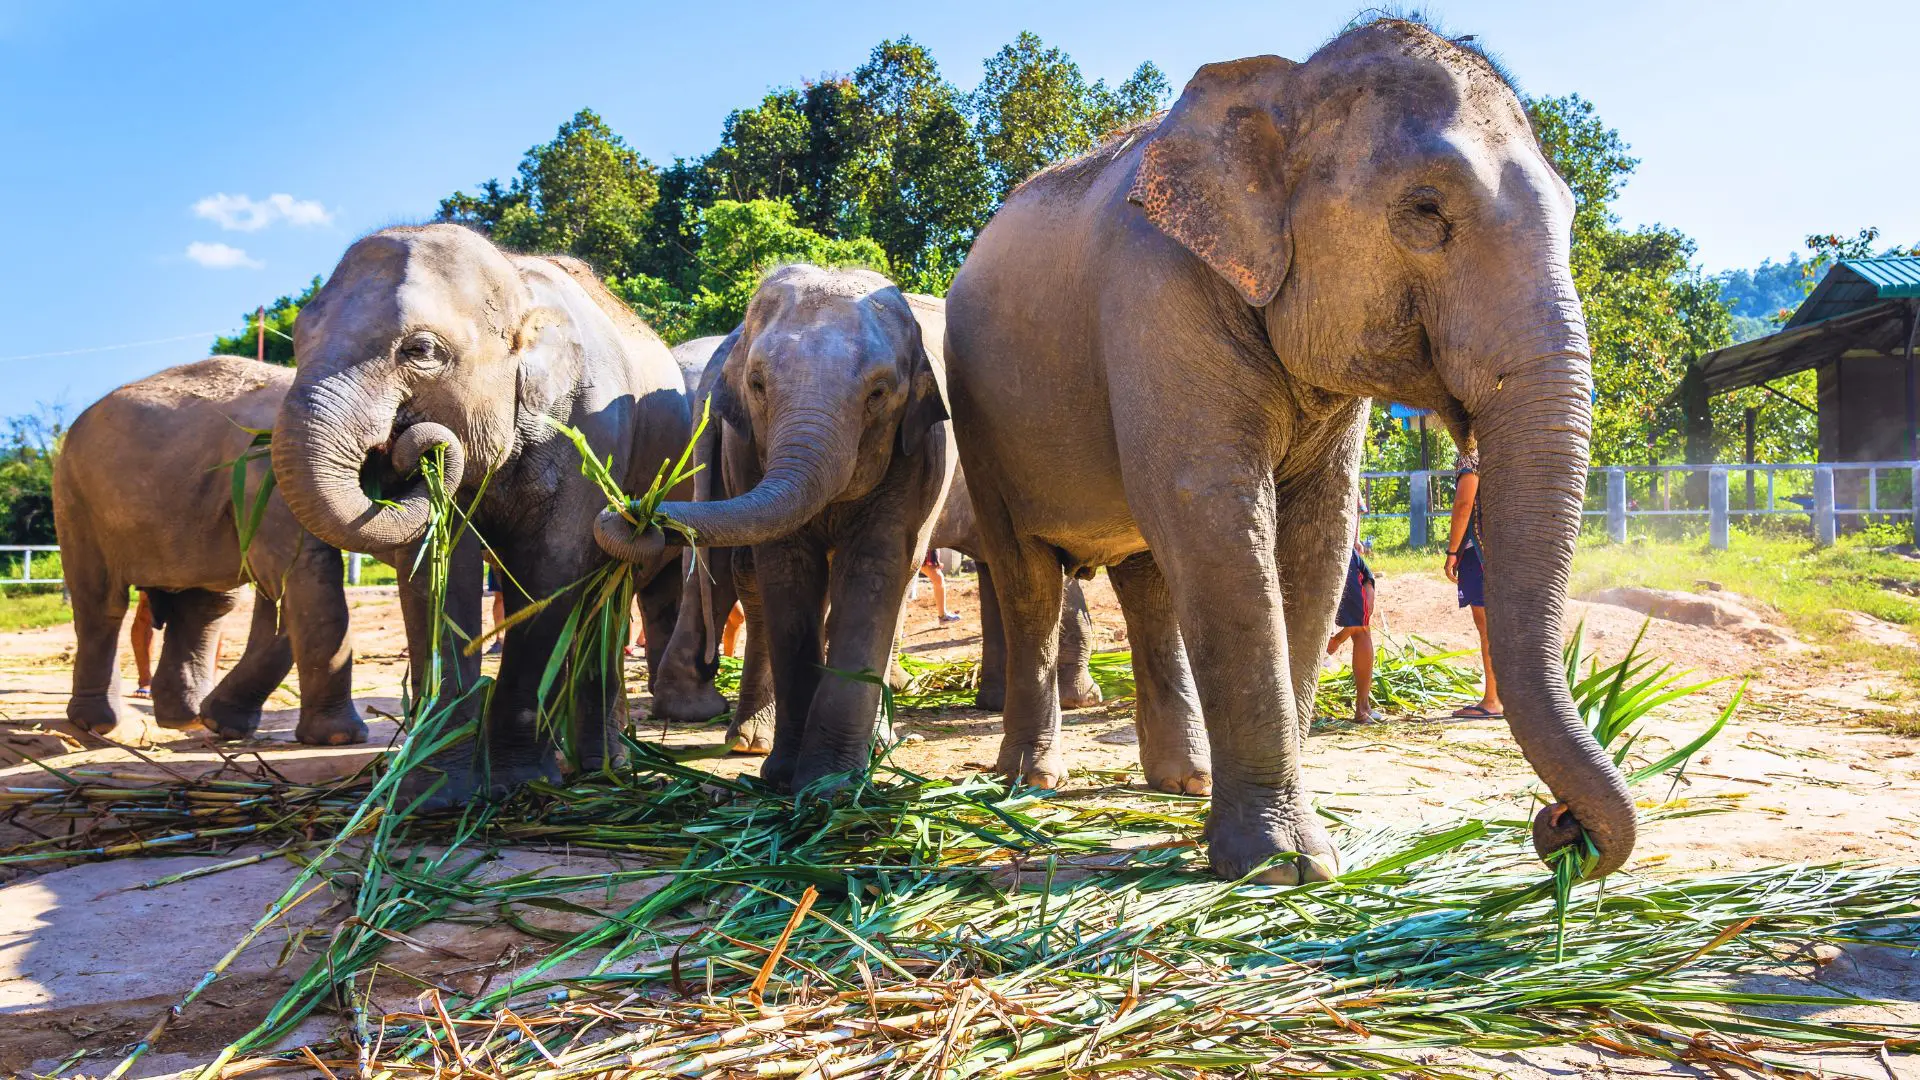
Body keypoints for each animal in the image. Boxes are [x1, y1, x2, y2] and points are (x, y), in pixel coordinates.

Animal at [52, 357, 366, 746]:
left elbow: (280, 594)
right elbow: (298, 575)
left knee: (205, 605)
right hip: (75, 499)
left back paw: (185, 719)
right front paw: (341, 738)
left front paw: (224, 725)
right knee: (101, 602)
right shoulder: (271, 472)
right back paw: (96, 724)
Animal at [273, 224, 692, 808]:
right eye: (299, 335)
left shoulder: (593, 433)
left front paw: (519, 783)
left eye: (421, 350)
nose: (409, 448)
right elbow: (438, 573)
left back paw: (602, 770)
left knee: (607, 597)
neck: (517, 286)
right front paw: (435, 794)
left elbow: (551, 569)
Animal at [595, 265, 951, 792]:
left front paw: (829, 785)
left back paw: (873, 745)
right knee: (750, 576)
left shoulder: (915, 453)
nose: (636, 515)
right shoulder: (745, 450)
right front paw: (790, 778)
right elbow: (786, 570)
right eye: (758, 384)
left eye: (879, 394)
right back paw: (749, 741)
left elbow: (873, 569)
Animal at [942, 18, 1634, 883]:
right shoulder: (1154, 293)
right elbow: (1216, 513)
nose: (1558, 826)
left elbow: (1318, 534)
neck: (1287, 84)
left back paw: (1183, 779)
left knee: (1148, 579)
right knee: (1028, 576)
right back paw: (1028, 781)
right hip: (982, 424)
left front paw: (1292, 849)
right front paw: (1282, 866)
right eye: (1426, 210)